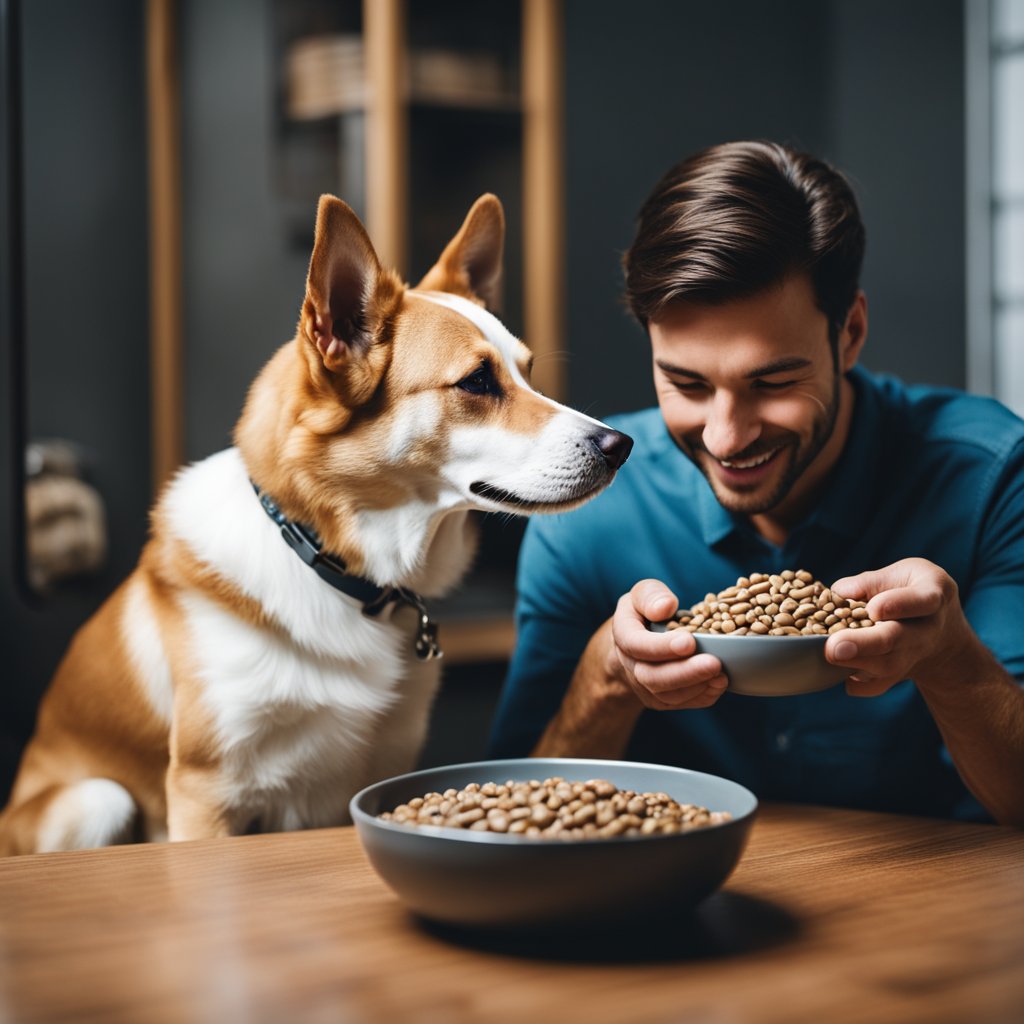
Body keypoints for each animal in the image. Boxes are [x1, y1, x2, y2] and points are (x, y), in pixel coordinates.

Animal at [0, 192, 630, 856]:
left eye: (528, 371)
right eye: (478, 381)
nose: (621, 445)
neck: (333, 569)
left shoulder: (375, 769)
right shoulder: (205, 792)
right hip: (98, 800)